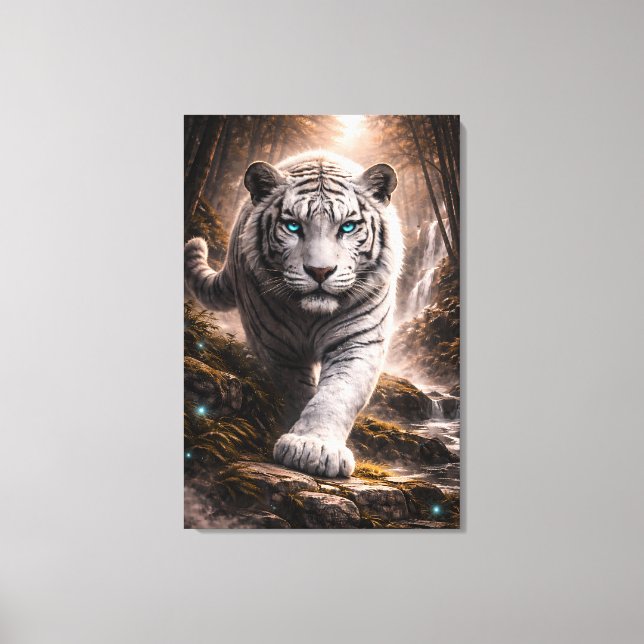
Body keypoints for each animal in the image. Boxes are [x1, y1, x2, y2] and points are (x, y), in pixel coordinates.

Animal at [185, 150, 403, 477]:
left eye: (348, 227)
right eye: (293, 226)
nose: (320, 271)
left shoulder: (358, 339)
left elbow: (337, 394)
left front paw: (316, 447)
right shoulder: (276, 344)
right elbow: (296, 390)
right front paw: (301, 441)